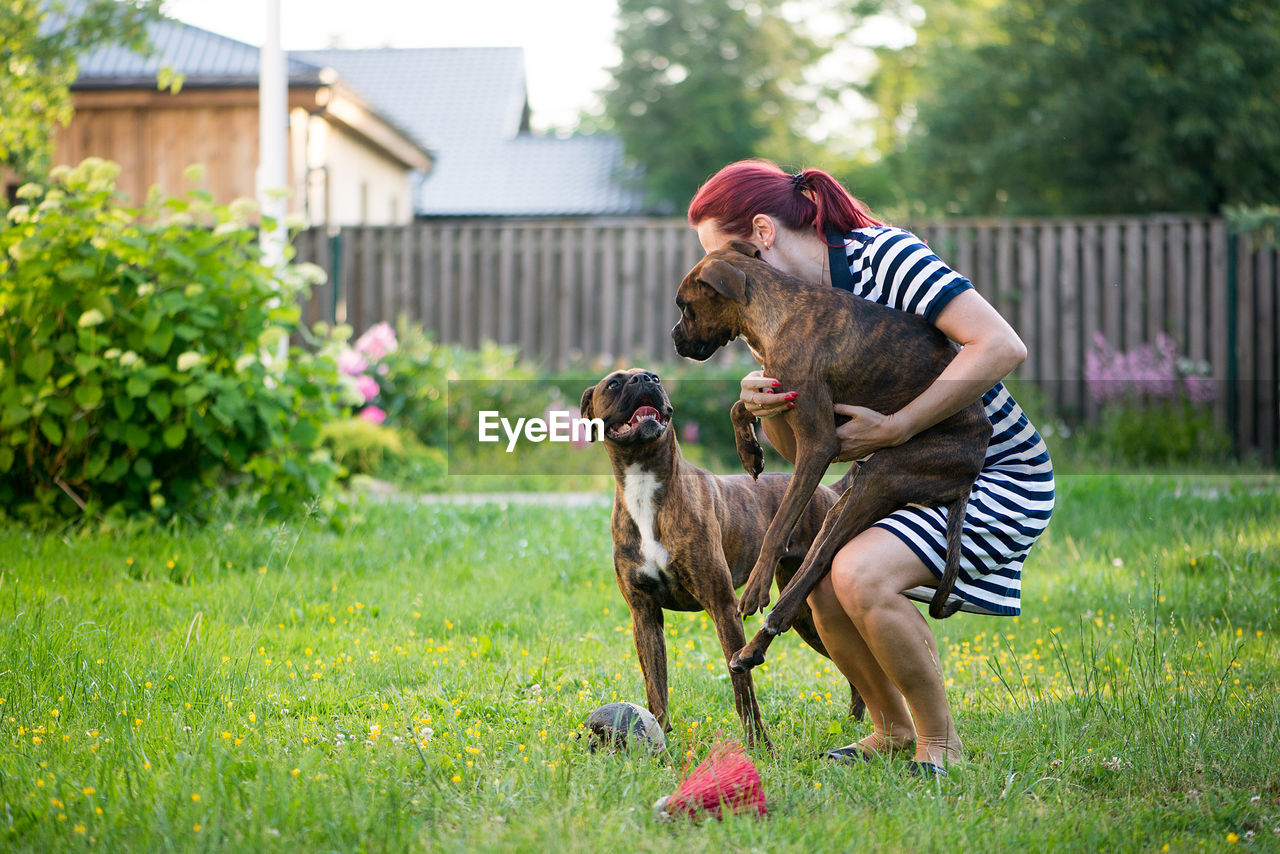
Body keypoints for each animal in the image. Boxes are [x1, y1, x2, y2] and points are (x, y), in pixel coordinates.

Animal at [581, 368, 860, 747]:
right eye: (614, 383)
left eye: (656, 378)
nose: (645, 379)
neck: (644, 481)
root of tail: (829, 491)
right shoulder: (645, 616)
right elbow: (657, 686)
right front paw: (659, 736)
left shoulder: (723, 607)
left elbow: (743, 687)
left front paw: (759, 745)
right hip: (805, 618)